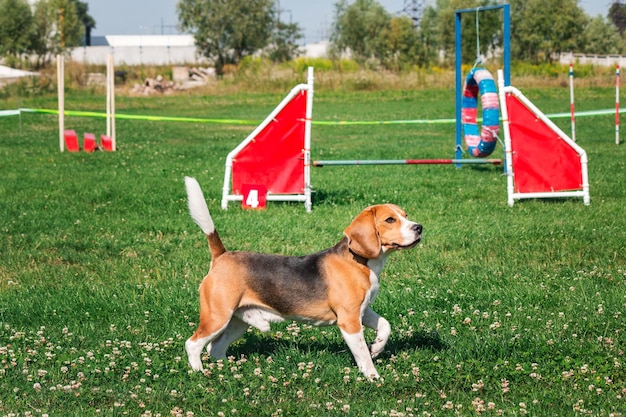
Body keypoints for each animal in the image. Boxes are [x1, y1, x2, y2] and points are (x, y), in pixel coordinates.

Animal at [183, 177, 422, 378]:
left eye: (405, 216)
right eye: (390, 220)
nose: (419, 227)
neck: (359, 261)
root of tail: (222, 255)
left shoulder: (363, 311)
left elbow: (385, 325)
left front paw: (377, 347)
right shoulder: (349, 320)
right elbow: (362, 354)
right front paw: (373, 377)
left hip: (237, 321)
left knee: (216, 348)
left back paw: (228, 368)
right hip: (217, 316)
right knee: (193, 344)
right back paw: (199, 372)